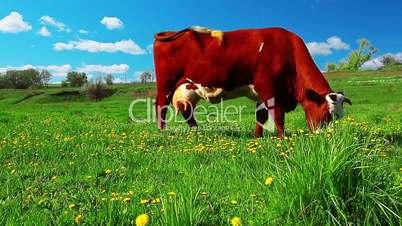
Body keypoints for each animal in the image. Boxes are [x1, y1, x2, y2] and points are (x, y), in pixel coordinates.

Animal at [152, 25, 350, 137]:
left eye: (339, 116)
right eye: (328, 114)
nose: (326, 139)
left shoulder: (260, 94)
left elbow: (260, 116)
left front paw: (258, 137)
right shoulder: (269, 89)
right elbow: (278, 115)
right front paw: (282, 137)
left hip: (188, 88)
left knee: (187, 110)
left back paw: (196, 131)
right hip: (166, 84)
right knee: (161, 105)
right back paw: (162, 132)